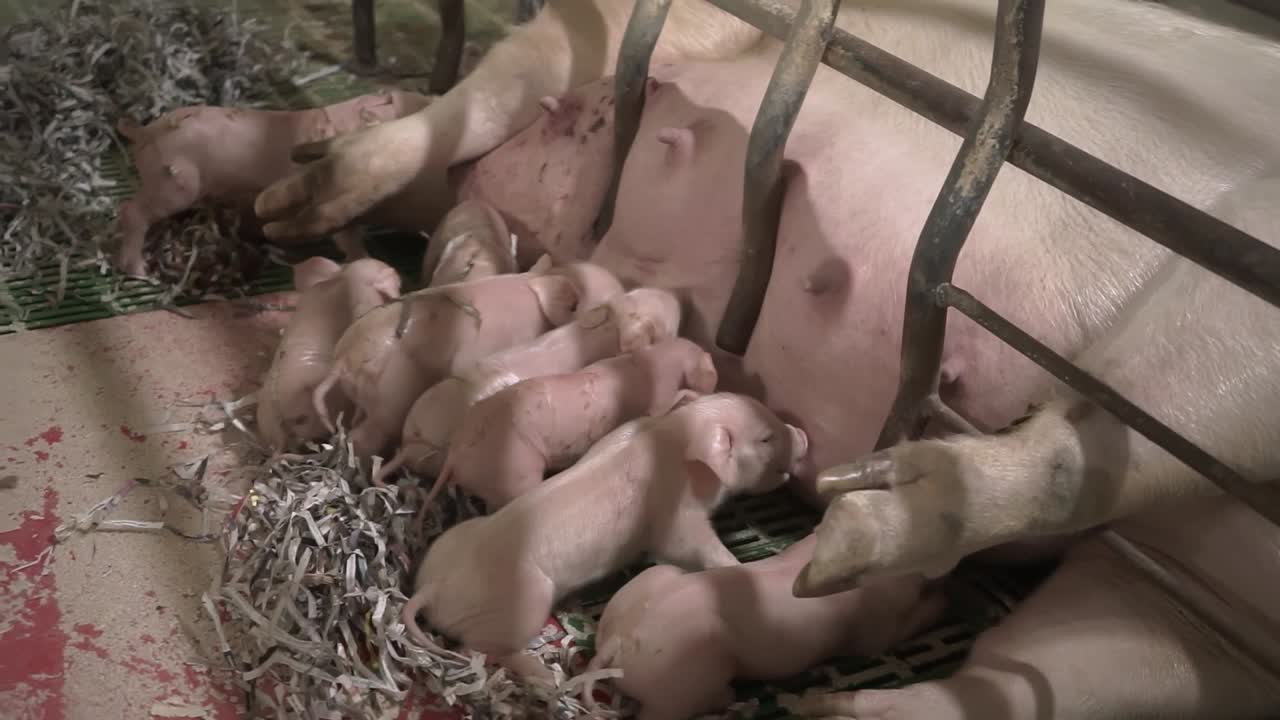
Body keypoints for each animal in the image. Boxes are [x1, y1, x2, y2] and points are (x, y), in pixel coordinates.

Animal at [114, 89, 431, 277]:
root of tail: (143, 132)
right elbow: (349, 238)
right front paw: (363, 261)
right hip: (176, 183)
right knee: (132, 212)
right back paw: (140, 271)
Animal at [399, 392, 809, 680]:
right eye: (765, 439)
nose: (801, 433)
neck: (675, 438)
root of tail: (434, 587)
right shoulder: (674, 518)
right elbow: (690, 545)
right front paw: (736, 566)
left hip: (452, 540)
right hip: (524, 603)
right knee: (477, 647)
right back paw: (542, 675)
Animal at [583, 534, 947, 720]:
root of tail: (617, 639)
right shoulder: (875, 626)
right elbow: (891, 634)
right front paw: (943, 602)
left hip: (654, 580)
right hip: (685, 676)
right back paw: (730, 698)